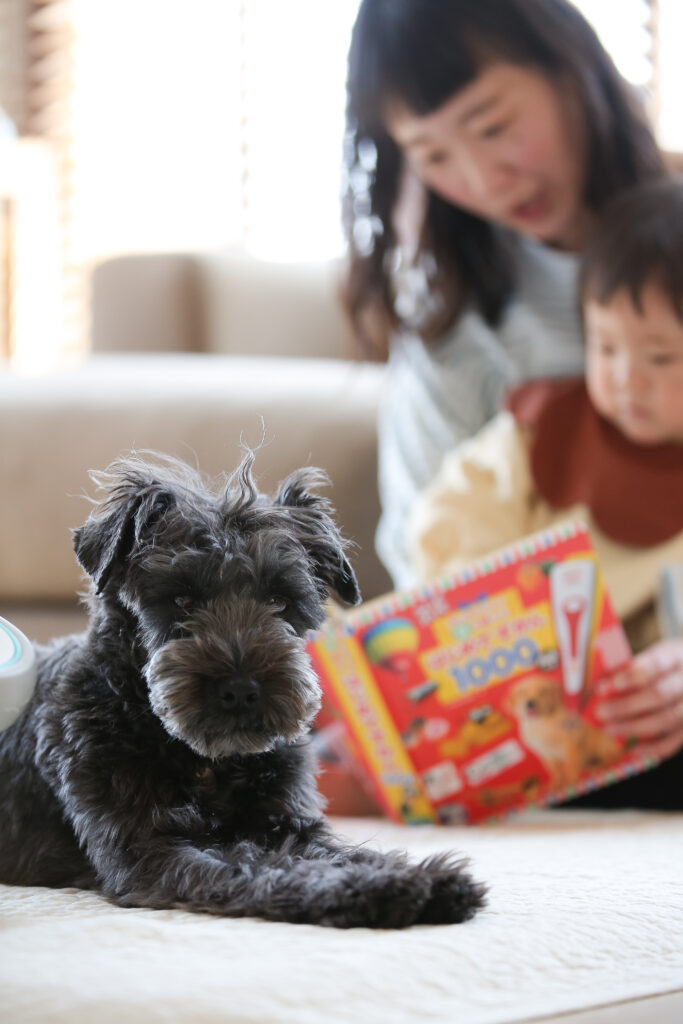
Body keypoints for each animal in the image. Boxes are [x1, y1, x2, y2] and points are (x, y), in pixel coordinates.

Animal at [0, 454, 489, 929]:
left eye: (279, 600)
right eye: (181, 599)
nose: (240, 690)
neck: (207, 763)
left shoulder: (290, 825)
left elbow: (342, 852)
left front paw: (424, 876)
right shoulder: (154, 847)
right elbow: (261, 866)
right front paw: (375, 888)